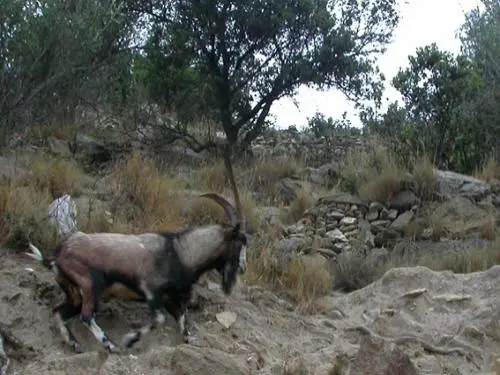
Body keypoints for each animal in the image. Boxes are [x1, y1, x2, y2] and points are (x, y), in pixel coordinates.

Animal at [25, 148, 248, 356]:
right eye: (241, 241)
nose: (243, 268)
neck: (180, 251)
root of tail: (58, 255)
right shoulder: (151, 289)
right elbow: (159, 319)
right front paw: (130, 340)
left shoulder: (171, 298)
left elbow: (183, 323)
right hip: (90, 285)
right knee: (86, 316)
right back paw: (111, 345)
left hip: (74, 293)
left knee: (59, 312)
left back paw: (75, 343)